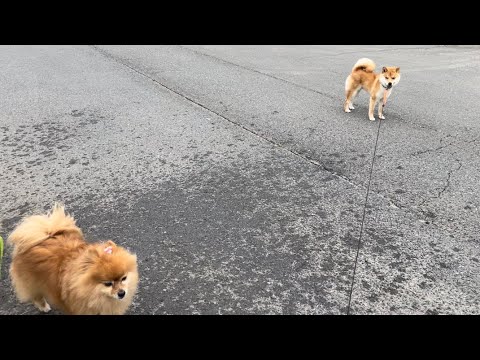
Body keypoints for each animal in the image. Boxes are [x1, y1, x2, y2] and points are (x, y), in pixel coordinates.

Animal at [7, 204, 139, 314]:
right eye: (108, 284)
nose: (122, 293)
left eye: (124, 278)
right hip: (32, 282)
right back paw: (44, 307)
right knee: (36, 296)